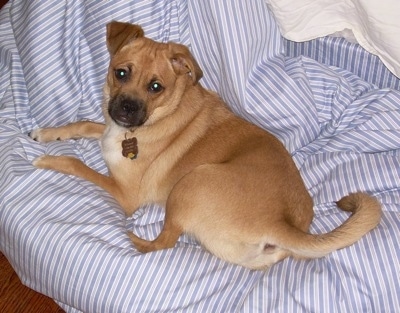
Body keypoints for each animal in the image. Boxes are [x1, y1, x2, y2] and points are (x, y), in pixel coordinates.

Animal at [30, 22, 382, 270]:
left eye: (155, 87)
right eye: (121, 73)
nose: (127, 109)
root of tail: (280, 222)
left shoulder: (126, 194)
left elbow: (78, 164)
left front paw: (48, 161)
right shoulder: (106, 127)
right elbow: (84, 124)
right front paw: (47, 133)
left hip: (190, 183)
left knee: (164, 243)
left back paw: (133, 238)